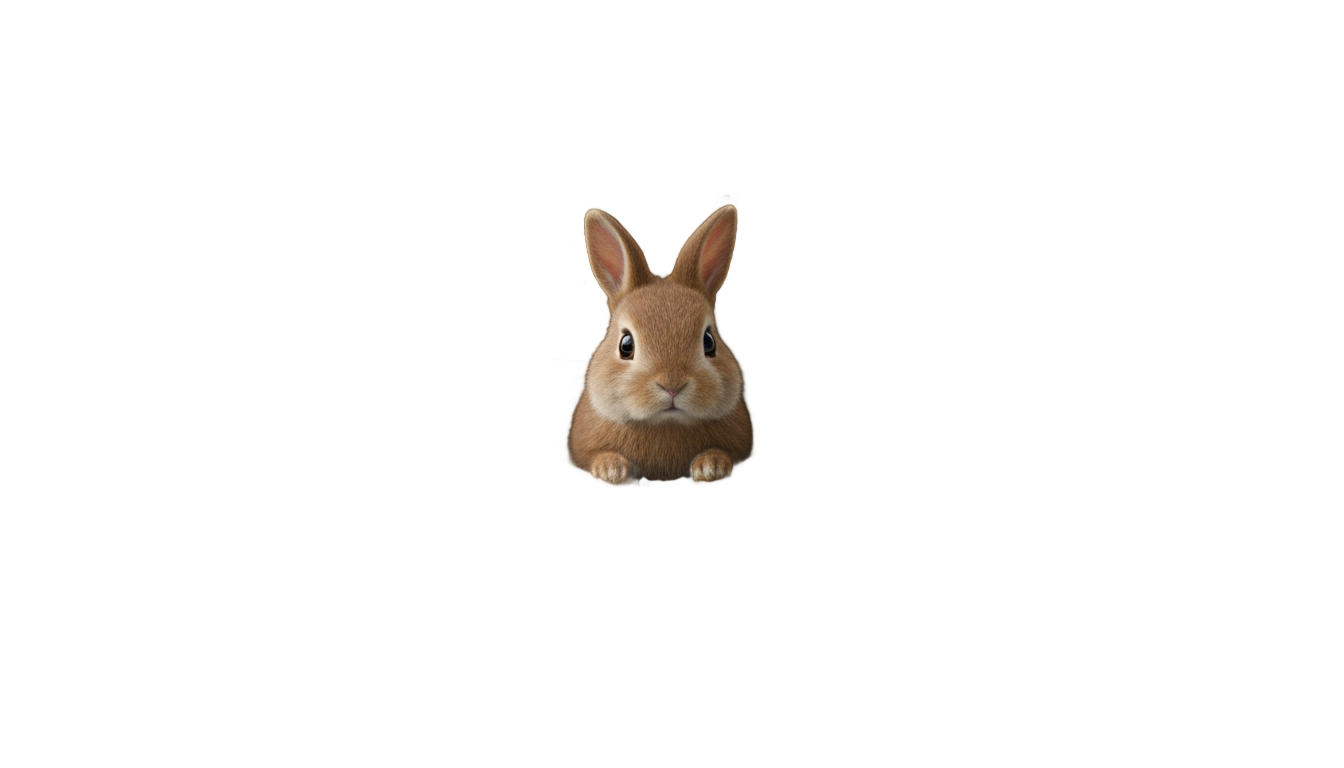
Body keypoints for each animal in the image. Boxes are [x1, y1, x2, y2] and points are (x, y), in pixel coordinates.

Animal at [567, 203, 751, 482]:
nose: (672, 386)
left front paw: (711, 467)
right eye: (626, 345)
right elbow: (597, 456)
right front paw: (610, 470)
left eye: (709, 342)